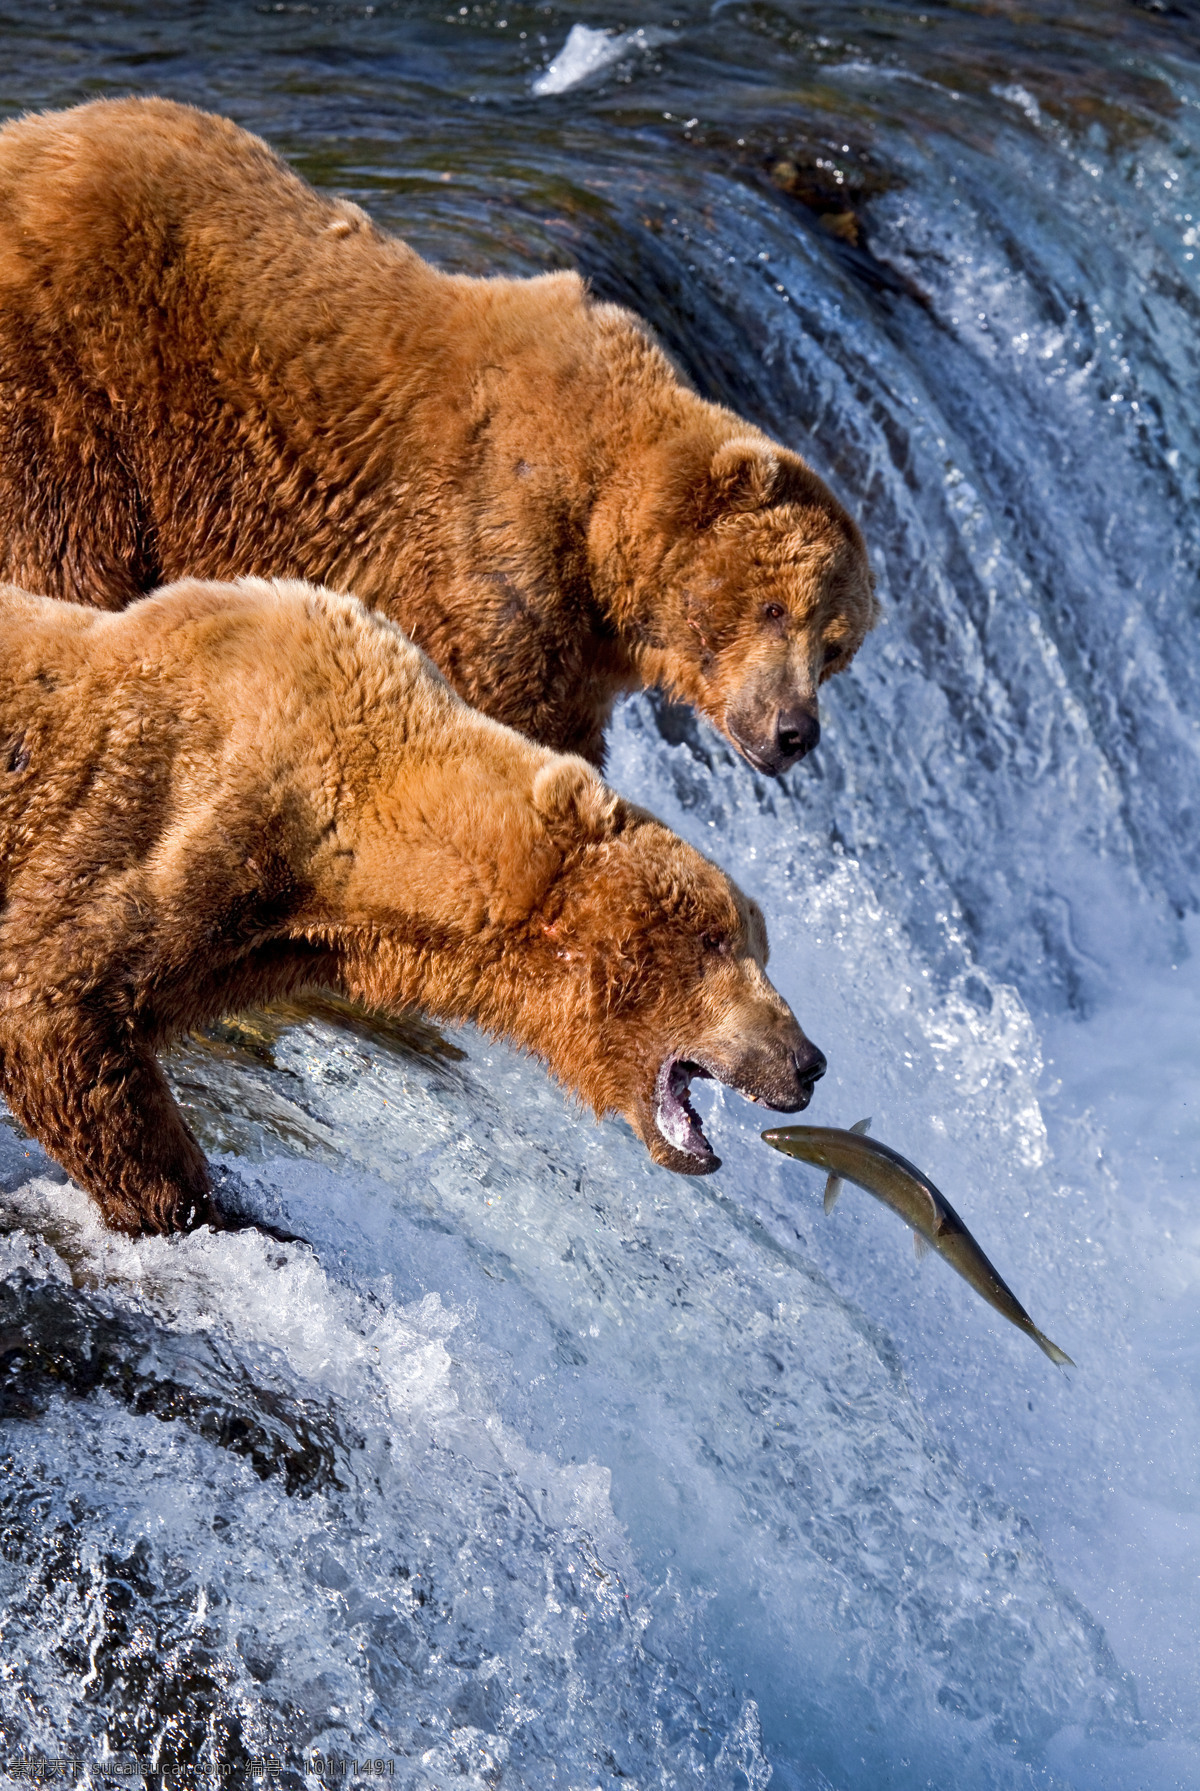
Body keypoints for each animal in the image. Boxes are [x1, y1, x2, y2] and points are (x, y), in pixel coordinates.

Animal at [0, 94, 877, 773]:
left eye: (834, 646)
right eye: (773, 605)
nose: (795, 731)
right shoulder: (489, 549)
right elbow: (498, 710)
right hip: (77, 386)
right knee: (65, 548)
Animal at [0, 573, 827, 1232]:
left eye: (760, 945)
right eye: (718, 939)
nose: (808, 1060)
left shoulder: (255, 945)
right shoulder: (187, 816)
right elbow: (53, 1004)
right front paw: (211, 1209)